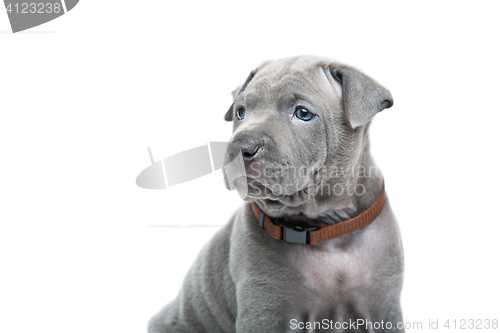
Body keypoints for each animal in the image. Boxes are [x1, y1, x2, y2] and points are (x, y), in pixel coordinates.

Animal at [147, 55, 402, 330]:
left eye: (303, 113)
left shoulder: (385, 310)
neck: (324, 232)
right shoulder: (265, 310)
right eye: (240, 112)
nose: (240, 147)